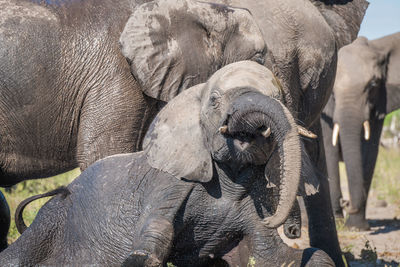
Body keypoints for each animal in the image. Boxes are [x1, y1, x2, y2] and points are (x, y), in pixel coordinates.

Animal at [0, 61, 332, 266]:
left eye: (280, 98)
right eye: (214, 100)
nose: (290, 228)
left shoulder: (253, 202)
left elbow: (279, 256)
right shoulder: (168, 184)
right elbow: (150, 245)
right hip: (49, 221)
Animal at [322, 33, 400, 230]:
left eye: (373, 85)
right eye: (332, 90)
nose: (345, 202)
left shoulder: (379, 104)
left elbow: (369, 151)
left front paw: (356, 227)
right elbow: (328, 150)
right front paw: (338, 223)